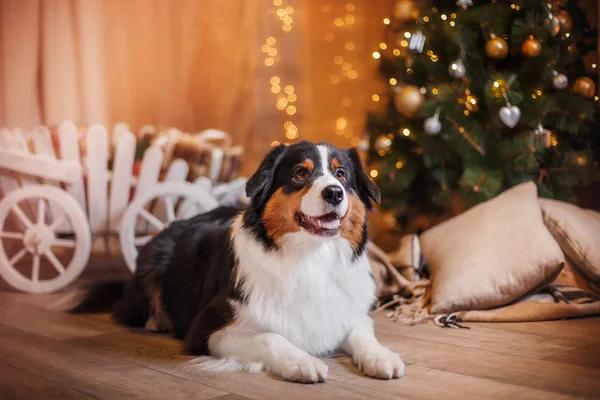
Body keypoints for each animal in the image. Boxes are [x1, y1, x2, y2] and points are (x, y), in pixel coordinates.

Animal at [74, 141, 404, 382]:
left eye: (341, 175)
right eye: (300, 173)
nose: (335, 193)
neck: (310, 256)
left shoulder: (349, 312)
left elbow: (362, 333)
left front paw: (382, 356)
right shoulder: (208, 330)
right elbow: (271, 337)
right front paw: (302, 362)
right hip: (153, 261)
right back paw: (157, 320)